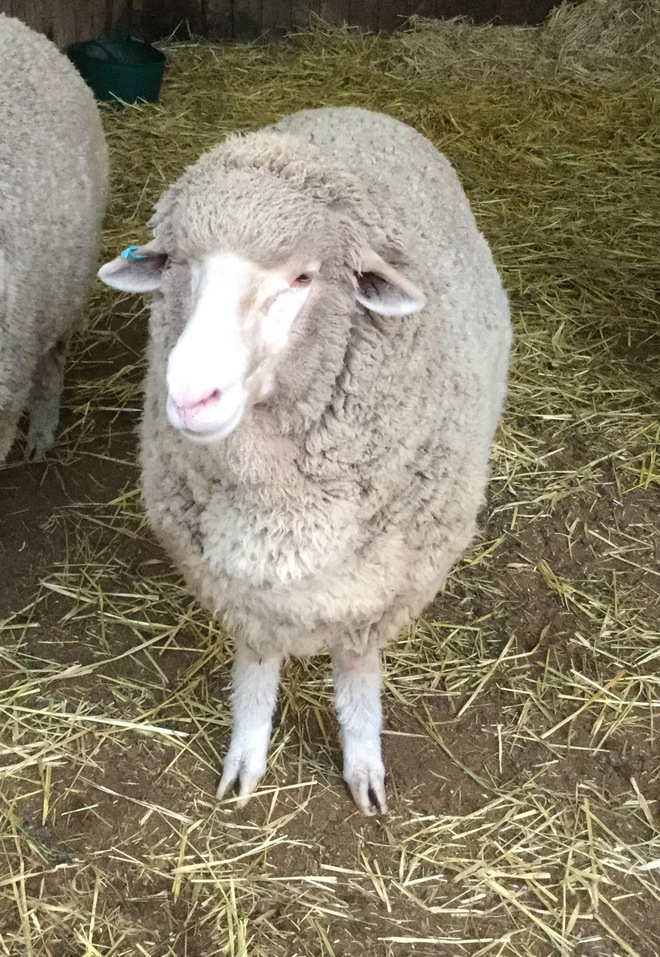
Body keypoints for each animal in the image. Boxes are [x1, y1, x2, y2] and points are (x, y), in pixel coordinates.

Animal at [99, 106, 512, 814]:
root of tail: (354, 107)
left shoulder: (381, 592)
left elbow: (357, 673)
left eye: (302, 277)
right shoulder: (241, 590)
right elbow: (257, 671)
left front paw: (363, 763)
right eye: (180, 264)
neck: (280, 512)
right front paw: (246, 758)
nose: (191, 395)